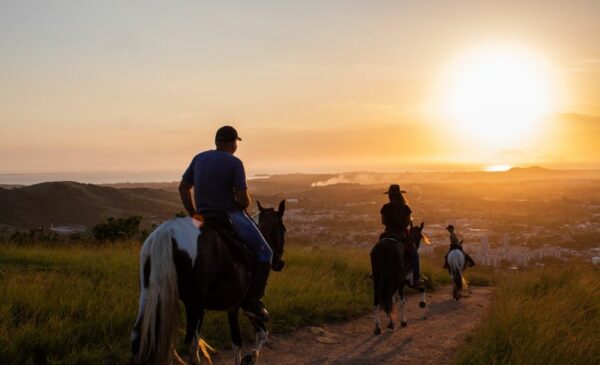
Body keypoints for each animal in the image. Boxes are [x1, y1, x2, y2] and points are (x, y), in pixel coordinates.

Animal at [129, 200, 288, 362]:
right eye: (283, 229)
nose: (280, 263)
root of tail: (167, 232)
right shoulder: (244, 305)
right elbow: (262, 334)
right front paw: (250, 357)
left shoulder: (232, 307)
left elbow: (237, 343)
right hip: (194, 303)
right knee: (192, 345)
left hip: (148, 294)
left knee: (137, 339)